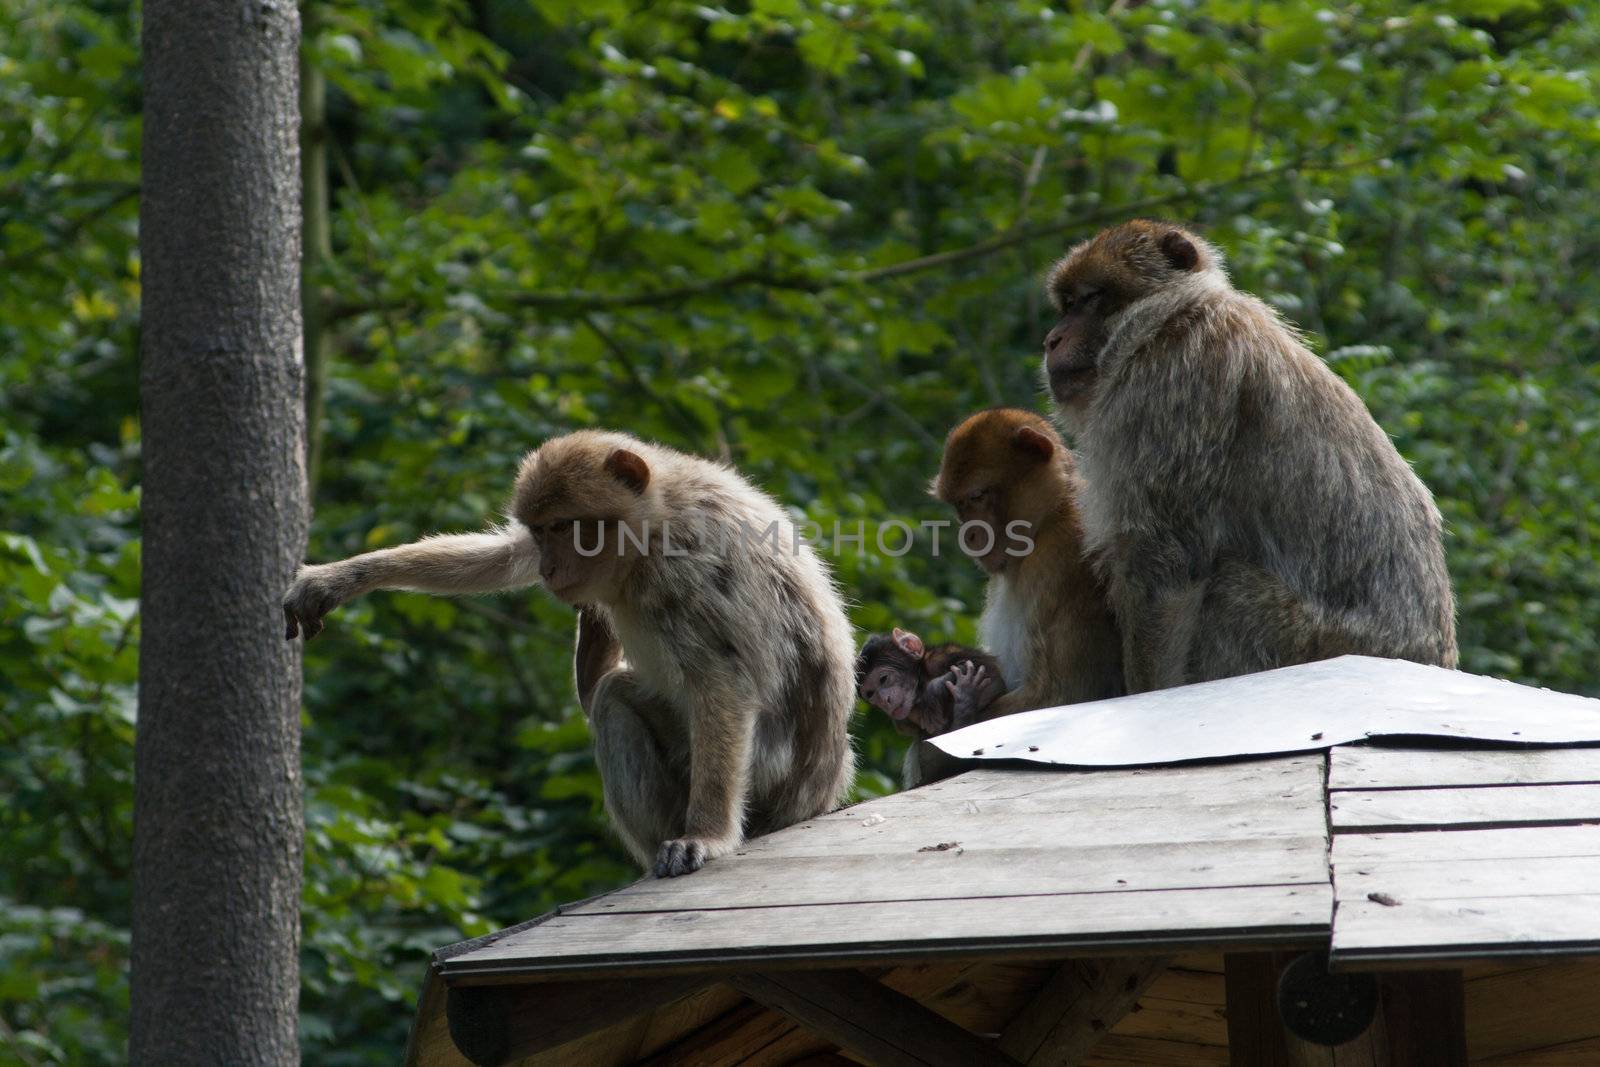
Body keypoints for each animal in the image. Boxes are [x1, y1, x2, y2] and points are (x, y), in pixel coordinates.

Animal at [288, 428, 864, 883]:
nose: (550, 569)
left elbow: (723, 683)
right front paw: (341, 577)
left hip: (765, 778)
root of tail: (818, 796)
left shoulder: (689, 571)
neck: (655, 522)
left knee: (614, 699)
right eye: (542, 530)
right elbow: (505, 558)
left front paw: (706, 835)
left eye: (566, 526)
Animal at [857, 630, 1004, 739]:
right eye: (870, 694)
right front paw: (965, 694)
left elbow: (988, 669)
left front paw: (938, 691)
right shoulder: (910, 716)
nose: (884, 701)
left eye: (883, 679)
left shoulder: (939, 658)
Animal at [1043, 220, 1459, 697]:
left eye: (1090, 299)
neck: (1166, 319)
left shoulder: (1168, 384)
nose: (1051, 340)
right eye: (1066, 304)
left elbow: (1166, 565)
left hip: (1310, 639)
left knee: (1229, 587)